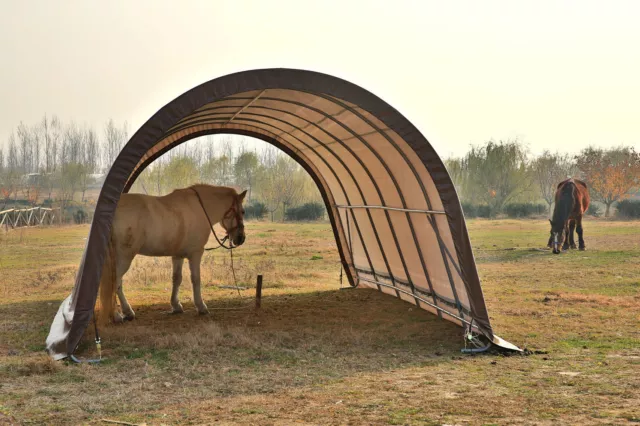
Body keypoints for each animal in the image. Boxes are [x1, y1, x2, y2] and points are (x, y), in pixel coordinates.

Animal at [99, 184, 246, 322]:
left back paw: (126, 312)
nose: (241, 238)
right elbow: (196, 279)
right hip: (124, 257)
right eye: (243, 211)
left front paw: (176, 306)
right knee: (115, 282)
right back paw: (117, 315)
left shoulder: (177, 255)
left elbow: (176, 279)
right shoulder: (196, 253)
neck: (200, 207)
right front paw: (201, 306)